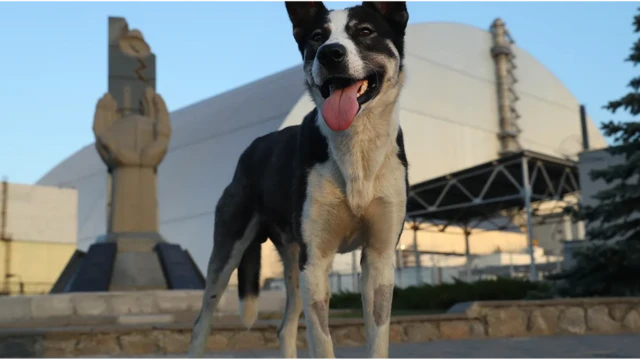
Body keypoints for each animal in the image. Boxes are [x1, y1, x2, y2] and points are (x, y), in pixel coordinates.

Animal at [189, 0, 410, 360]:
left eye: (365, 31)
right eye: (317, 36)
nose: (329, 53)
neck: (356, 147)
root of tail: (250, 150)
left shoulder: (379, 258)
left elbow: (377, 339)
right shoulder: (316, 260)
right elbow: (322, 342)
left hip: (293, 266)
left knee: (285, 327)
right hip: (229, 253)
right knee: (201, 323)